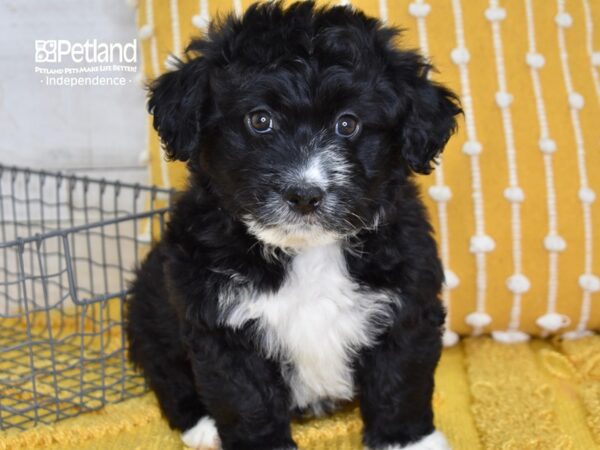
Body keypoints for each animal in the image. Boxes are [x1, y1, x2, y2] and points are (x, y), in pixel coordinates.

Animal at [127, 1, 460, 448]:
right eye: (260, 120)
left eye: (348, 124)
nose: (304, 194)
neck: (306, 250)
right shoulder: (221, 327)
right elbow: (247, 403)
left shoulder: (407, 302)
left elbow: (400, 381)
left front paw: (407, 439)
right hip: (150, 314)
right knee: (169, 376)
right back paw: (203, 426)